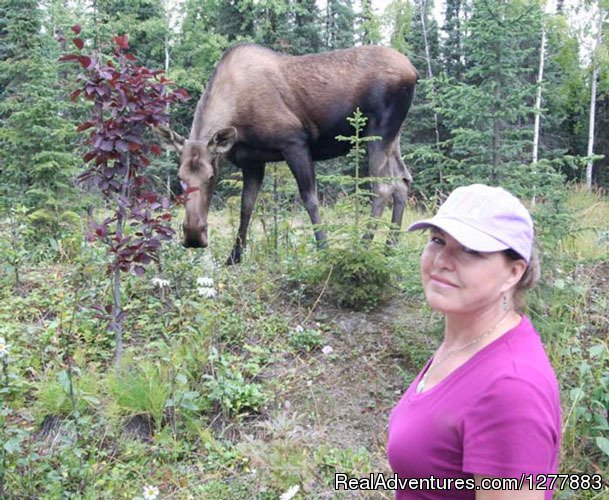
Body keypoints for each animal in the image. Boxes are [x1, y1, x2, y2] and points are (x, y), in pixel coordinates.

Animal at [159, 44, 418, 264]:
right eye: (180, 178)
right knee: (403, 180)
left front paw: (324, 251)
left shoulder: (295, 143)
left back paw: (363, 248)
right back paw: (389, 250)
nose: (193, 235)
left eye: (211, 176)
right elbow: (246, 207)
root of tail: (414, 72)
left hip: (377, 131)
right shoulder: (252, 161)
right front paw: (234, 258)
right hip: (393, 137)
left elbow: (310, 199)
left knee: (383, 187)